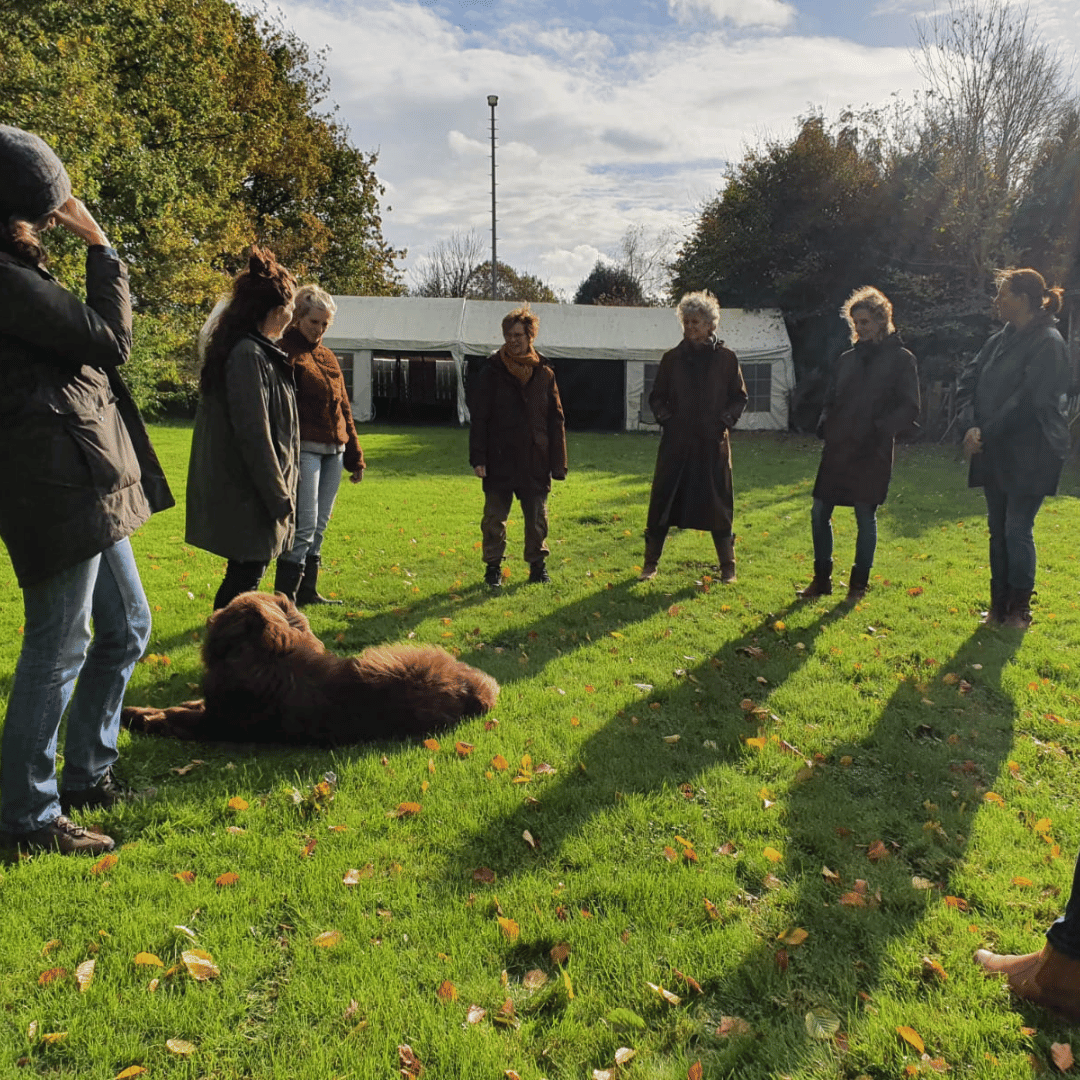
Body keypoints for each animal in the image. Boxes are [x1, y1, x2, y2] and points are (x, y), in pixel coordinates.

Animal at [120, 587, 498, 747]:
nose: (211, 616)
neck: (270, 659)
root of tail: (476, 693)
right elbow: (183, 705)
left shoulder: (218, 722)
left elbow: (175, 716)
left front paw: (139, 717)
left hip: (390, 663)